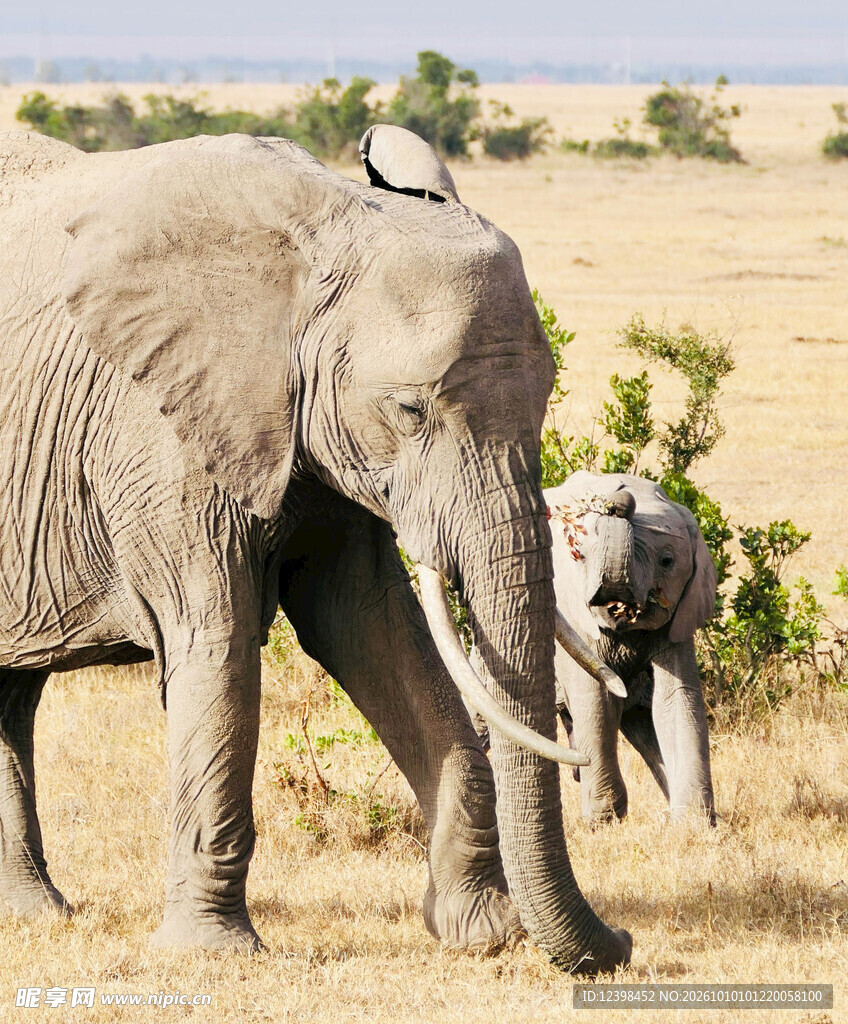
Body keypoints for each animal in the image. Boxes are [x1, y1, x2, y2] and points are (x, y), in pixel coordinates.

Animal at [0, 126, 631, 973]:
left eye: (544, 401)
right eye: (410, 410)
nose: (622, 942)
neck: (332, 233)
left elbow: (372, 629)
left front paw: (481, 932)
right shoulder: (156, 432)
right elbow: (220, 646)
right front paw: (213, 954)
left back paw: (35, 915)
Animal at [548, 472, 717, 825]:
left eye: (666, 560)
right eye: (579, 555)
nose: (615, 502)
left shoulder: (678, 617)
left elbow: (676, 700)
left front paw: (694, 825)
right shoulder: (572, 612)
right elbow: (596, 697)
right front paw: (604, 822)